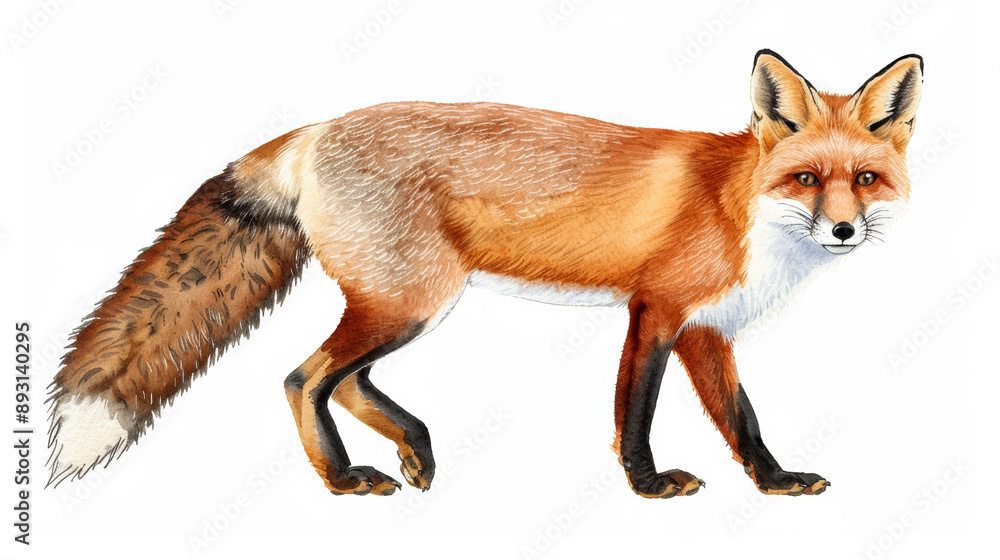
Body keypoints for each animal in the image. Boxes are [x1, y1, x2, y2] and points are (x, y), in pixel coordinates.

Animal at [46, 50, 922, 499]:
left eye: (864, 180)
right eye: (806, 179)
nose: (843, 229)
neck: (741, 209)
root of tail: (317, 128)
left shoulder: (708, 330)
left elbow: (744, 421)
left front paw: (774, 482)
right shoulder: (656, 311)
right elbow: (633, 413)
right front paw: (647, 486)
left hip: (406, 303)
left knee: (344, 379)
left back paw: (413, 449)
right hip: (412, 302)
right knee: (305, 377)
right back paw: (345, 478)